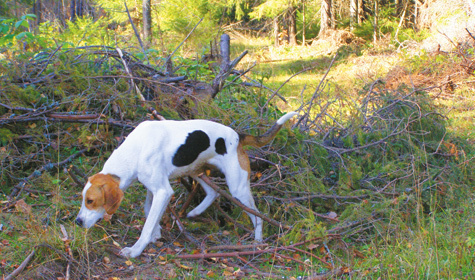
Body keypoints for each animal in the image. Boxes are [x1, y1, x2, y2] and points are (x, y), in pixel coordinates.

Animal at [75, 112, 298, 258]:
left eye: (91, 201)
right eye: (83, 199)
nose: (77, 222)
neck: (135, 149)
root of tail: (238, 135)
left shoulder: (163, 191)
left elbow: (146, 224)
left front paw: (136, 249)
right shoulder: (154, 189)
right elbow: (149, 211)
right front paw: (156, 233)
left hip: (238, 188)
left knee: (257, 215)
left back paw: (258, 241)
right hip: (195, 171)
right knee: (213, 193)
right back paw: (195, 211)